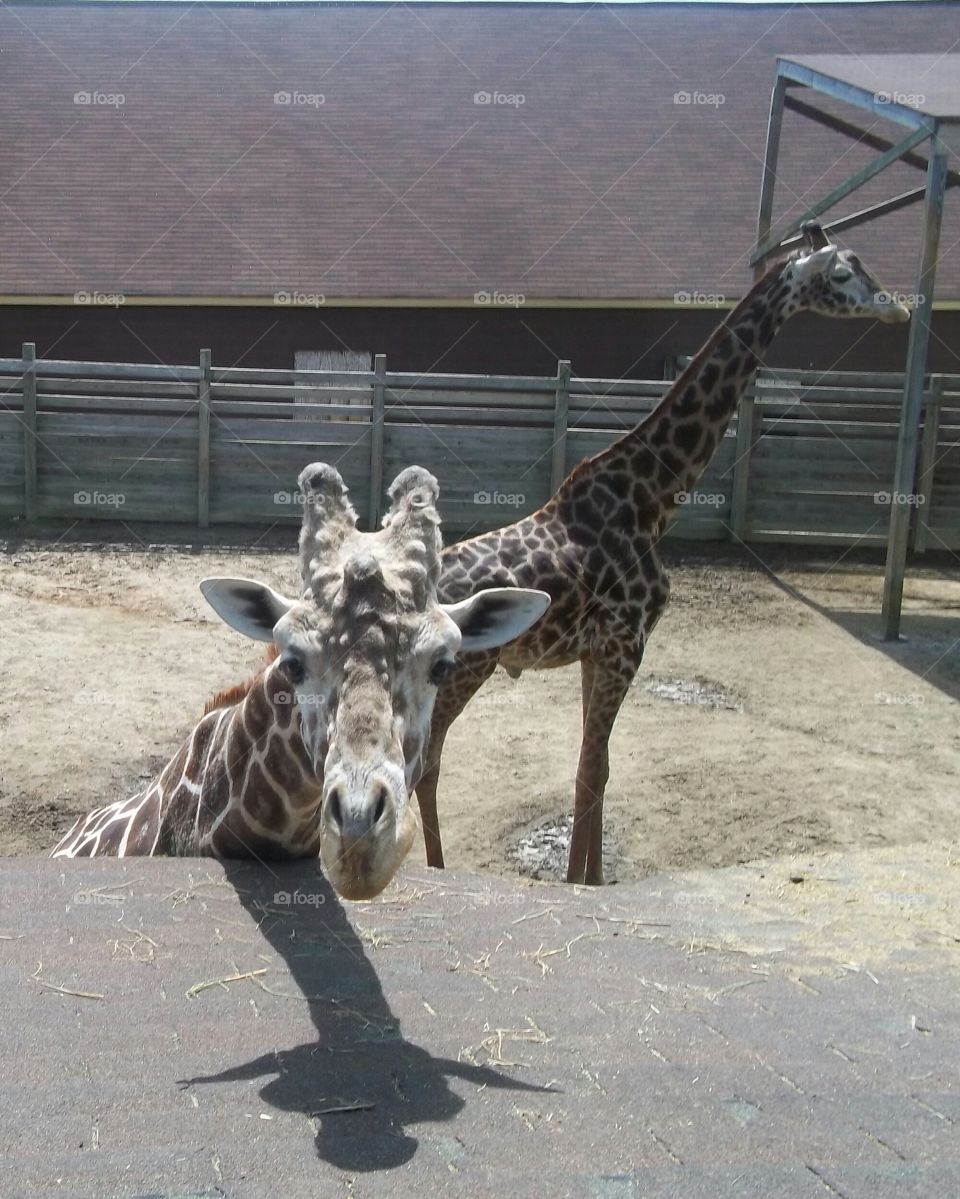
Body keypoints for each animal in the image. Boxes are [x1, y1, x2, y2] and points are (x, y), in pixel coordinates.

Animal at [413, 224, 910, 886]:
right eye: (840, 274)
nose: (898, 308)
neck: (650, 496)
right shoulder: (628, 643)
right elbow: (590, 772)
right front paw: (582, 884)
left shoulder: (598, 652)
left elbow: (595, 771)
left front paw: (591, 878)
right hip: (464, 672)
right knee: (422, 764)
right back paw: (431, 869)